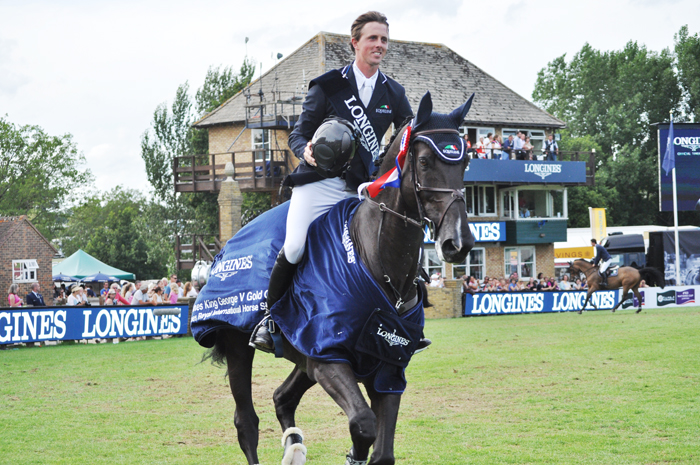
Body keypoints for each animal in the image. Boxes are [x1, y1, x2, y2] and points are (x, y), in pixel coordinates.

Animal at [204, 91, 476, 464]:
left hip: (303, 358)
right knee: (247, 422)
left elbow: (382, 452)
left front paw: (355, 454)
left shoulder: (386, 369)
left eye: (465, 163)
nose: (458, 243)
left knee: (282, 398)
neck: (374, 258)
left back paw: (294, 446)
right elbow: (363, 424)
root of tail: (225, 250)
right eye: (423, 162)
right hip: (239, 347)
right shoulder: (328, 358)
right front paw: (352, 452)